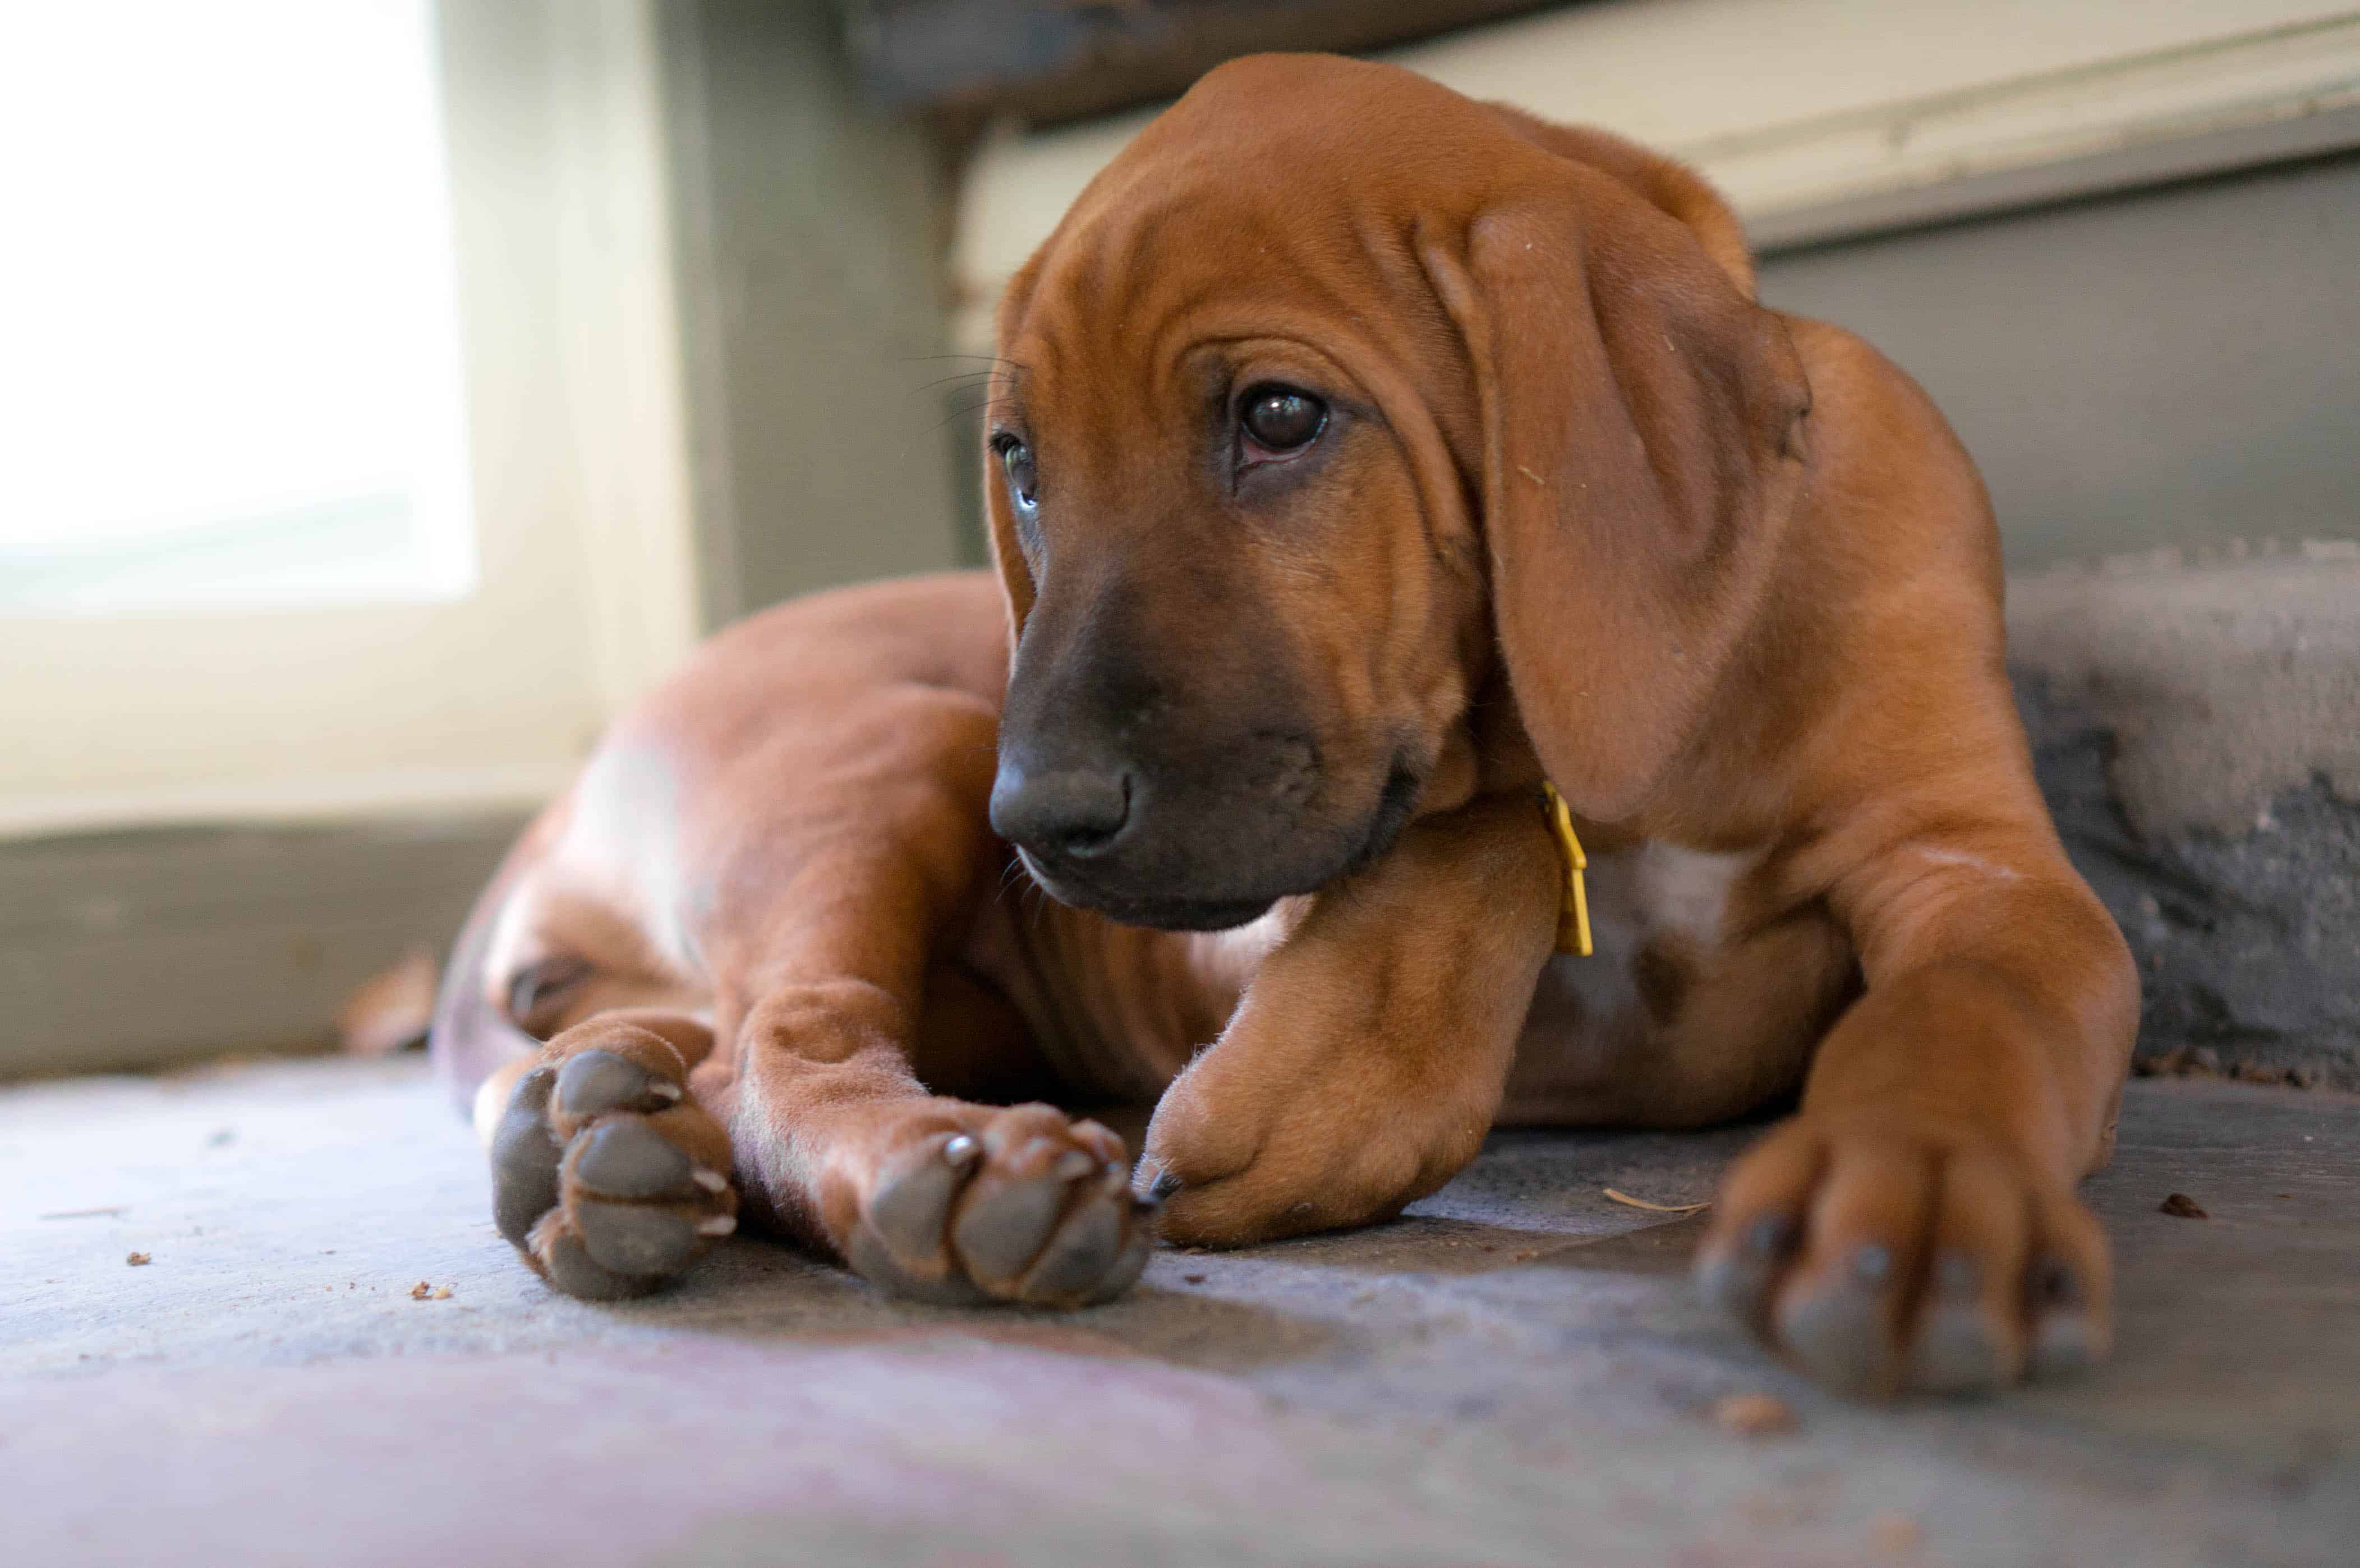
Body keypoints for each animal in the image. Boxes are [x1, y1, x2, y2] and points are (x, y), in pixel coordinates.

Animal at [429, 55, 2142, 1396]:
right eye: (1021, 462)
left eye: (1277, 416)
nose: (1036, 824)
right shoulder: (1230, 916)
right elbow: (1487, 816)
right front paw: (1332, 1076)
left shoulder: (1988, 875)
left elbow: (1961, 1008)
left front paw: (1918, 1189)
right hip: (891, 754)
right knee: (793, 1041)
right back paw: (924, 1174)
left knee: (709, 1041)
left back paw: (586, 1130)